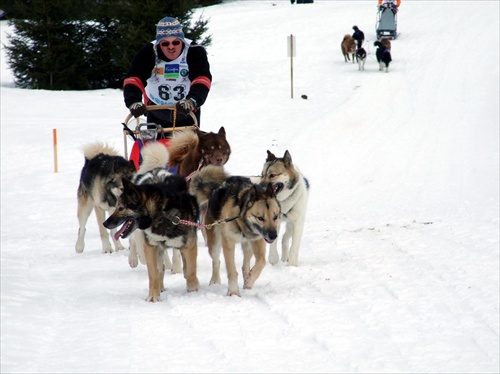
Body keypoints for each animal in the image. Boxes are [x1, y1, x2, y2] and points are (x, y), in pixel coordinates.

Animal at [102, 161, 199, 300]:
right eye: (116, 207)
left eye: (121, 208)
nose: (105, 223)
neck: (160, 213)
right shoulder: (151, 246)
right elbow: (154, 273)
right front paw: (153, 297)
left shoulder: (189, 246)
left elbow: (190, 271)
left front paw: (192, 291)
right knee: (160, 267)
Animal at [189, 167, 282, 298]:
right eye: (260, 218)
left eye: (275, 217)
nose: (273, 236)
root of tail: (215, 189)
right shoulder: (228, 243)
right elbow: (232, 270)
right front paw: (233, 292)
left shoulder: (257, 240)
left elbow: (261, 262)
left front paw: (250, 280)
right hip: (215, 244)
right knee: (216, 261)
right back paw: (215, 281)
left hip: (248, 246)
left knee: (245, 265)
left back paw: (247, 279)